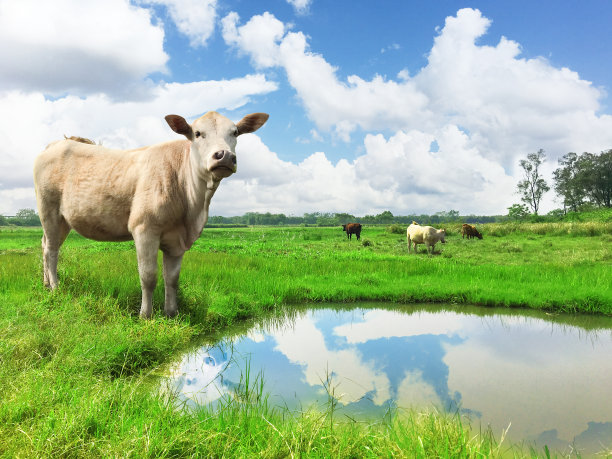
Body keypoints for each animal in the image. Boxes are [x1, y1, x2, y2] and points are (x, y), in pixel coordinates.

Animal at [32, 111, 268, 320]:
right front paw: (146, 315)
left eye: (235, 132)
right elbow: (148, 276)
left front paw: (172, 313)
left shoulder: (177, 240)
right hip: (48, 210)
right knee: (51, 250)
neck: (193, 209)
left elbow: (172, 278)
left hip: (64, 220)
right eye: (198, 133)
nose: (225, 155)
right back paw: (55, 287)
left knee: (45, 245)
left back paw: (45, 284)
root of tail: (57, 143)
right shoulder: (144, 229)